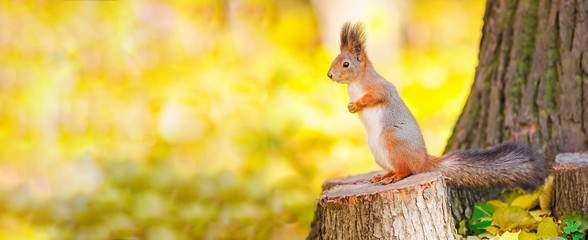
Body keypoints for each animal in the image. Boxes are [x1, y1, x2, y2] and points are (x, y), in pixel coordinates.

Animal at [326, 22, 548, 189]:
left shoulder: (381, 88)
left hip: (393, 140)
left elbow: (376, 97)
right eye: (335, 60)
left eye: (345, 64)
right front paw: (350, 107)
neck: (355, 84)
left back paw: (394, 176)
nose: (329, 75)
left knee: (406, 170)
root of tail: (423, 160)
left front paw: (357, 104)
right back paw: (383, 175)